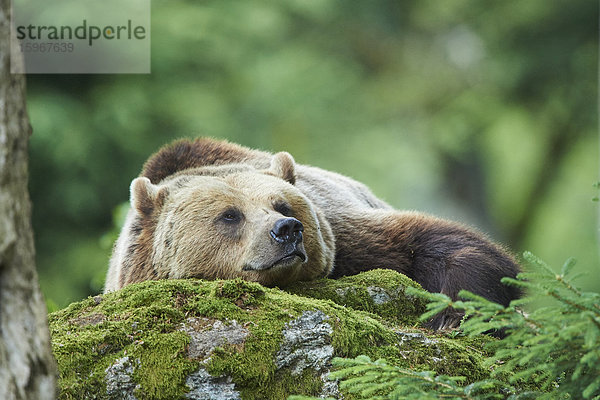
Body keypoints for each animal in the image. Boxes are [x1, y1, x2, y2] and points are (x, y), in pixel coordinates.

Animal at [105, 138, 524, 328]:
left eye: (283, 206)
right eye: (229, 215)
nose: (286, 231)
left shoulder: (343, 234)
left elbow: (437, 243)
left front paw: (454, 316)